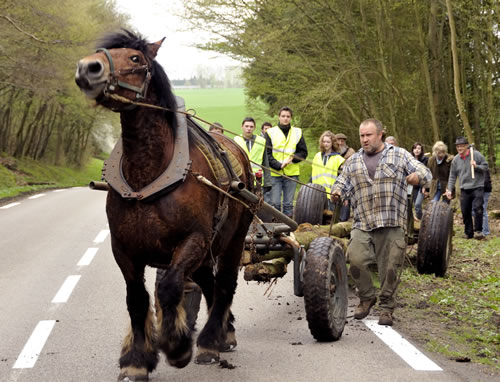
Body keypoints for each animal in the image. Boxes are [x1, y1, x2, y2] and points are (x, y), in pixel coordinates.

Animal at [74, 30, 254, 382]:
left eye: (135, 58)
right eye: (103, 50)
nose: (88, 68)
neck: (149, 172)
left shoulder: (192, 240)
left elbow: (169, 287)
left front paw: (177, 345)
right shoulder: (124, 249)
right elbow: (137, 299)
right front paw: (136, 359)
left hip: (232, 241)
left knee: (225, 284)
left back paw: (211, 340)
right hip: (206, 253)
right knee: (210, 285)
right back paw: (222, 332)